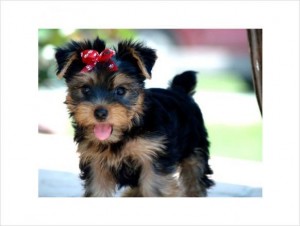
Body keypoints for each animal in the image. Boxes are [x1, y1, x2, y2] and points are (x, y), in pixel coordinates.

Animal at [54, 36, 213, 196]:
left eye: (121, 90)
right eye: (85, 89)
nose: (100, 113)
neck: (124, 133)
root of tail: (179, 90)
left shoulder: (153, 157)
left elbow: (155, 189)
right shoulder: (95, 162)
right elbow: (98, 191)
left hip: (196, 146)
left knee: (194, 175)